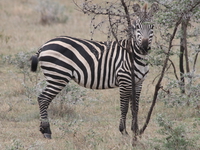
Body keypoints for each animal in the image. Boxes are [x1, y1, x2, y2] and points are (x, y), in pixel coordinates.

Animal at [30, 3, 158, 138]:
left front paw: (136, 131)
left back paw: (43, 129)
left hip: (56, 77)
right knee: (43, 99)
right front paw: (124, 132)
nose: (144, 47)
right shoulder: (125, 80)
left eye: (152, 26)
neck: (134, 54)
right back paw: (46, 130)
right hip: (58, 77)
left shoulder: (138, 82)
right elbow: (124, 107)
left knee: (42, 98)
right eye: (137, 27)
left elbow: (135, 107)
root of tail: (44, 45)